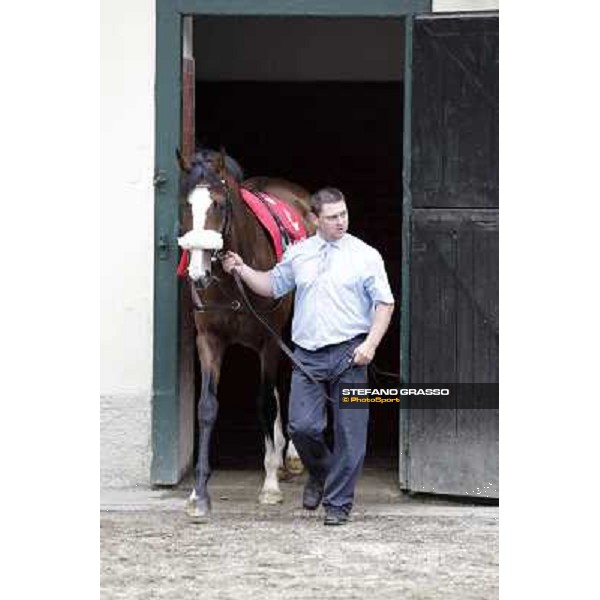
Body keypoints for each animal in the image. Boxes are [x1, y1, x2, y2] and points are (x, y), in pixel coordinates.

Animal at [176, 149, 314, 520]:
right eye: (186, 204)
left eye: (219, 204)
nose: (197, 273)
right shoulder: (209, 340)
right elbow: (207, 406)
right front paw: (198, 493)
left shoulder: (268, 341)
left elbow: (265, 402)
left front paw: (270, 485)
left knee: (292, 379)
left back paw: (291, 457)